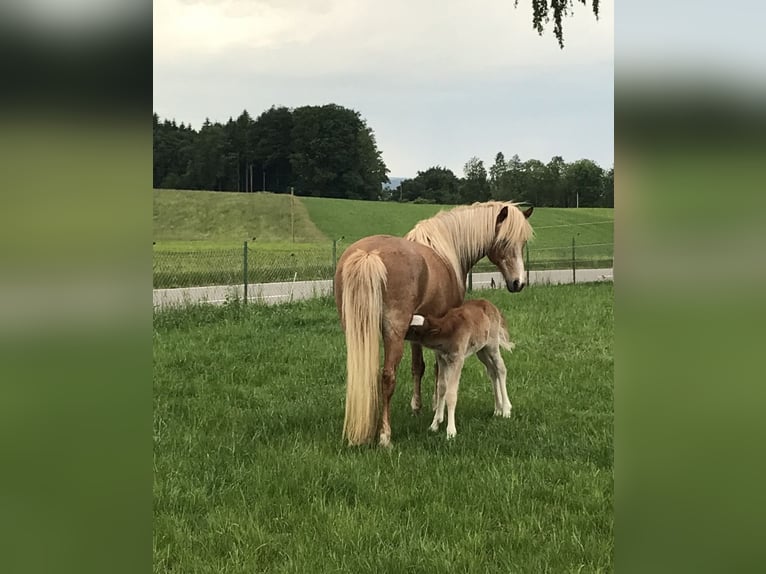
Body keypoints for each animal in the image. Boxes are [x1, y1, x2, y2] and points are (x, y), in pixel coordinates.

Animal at [405, 299, 515, 439]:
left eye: (414, 329)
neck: (448, 331)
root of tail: (490, 304)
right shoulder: (442, 359)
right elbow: (441, 388)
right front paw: (435, 424)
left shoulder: (457, 360)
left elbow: (451, 393)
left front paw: (451, 432)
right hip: (481, 350)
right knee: (492, 371)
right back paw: (497, 409)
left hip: (492, 344)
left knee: (501, 368)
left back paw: (506, 409)